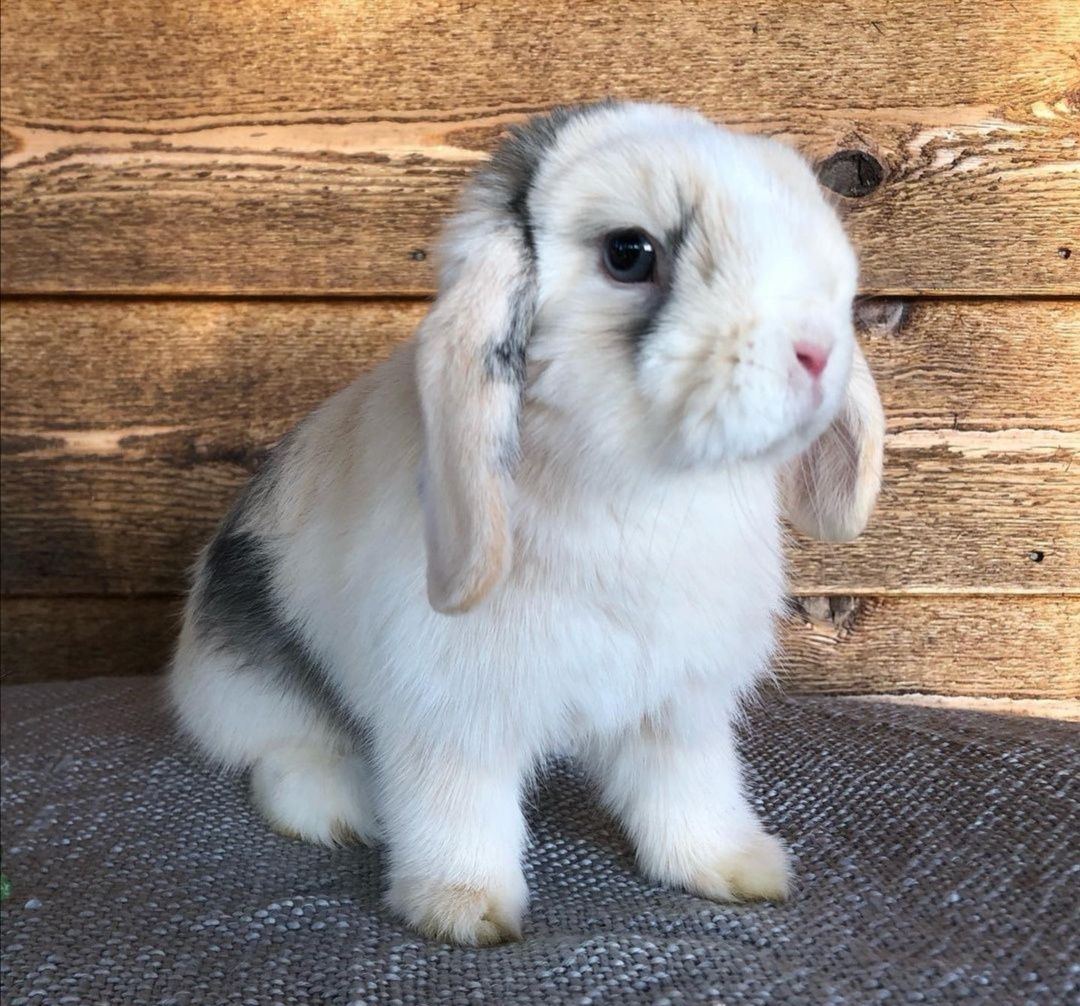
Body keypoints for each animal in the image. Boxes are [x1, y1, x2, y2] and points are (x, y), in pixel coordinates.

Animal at [170, 100, 885, 942]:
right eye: (630, 253)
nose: (817, 351)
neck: (639, 488)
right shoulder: (451, 716)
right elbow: (459, 809)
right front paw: (463, 909)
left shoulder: (678, 709)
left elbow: (689, 792)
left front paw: (736, 867)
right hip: (248, 683)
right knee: (272, 751)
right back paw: (337, 807)